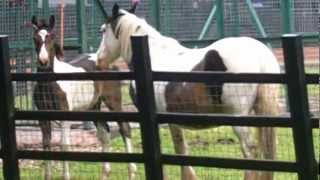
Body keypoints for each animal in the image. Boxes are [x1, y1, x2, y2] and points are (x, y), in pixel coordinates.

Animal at [32, 15, 136, 180]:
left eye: (52, 36)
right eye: (35, 38)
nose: (43, 62)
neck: (49, 83)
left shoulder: (64, 117)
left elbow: (64, 145)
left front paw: (66, 176)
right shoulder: (43, 117)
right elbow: (46, 143)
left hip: (113, 101)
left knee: (124, 128)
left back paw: (132, 172)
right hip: (93, 106)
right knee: (104, 133)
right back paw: (105, 173)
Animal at [95, 3, 280, 180]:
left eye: (103, 30)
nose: (99, 60)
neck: (152, 56)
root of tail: (260, 55)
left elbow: (177, 150)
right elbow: (182, 150)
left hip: (239, 118)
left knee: (250, 151)